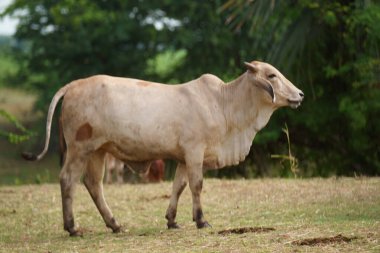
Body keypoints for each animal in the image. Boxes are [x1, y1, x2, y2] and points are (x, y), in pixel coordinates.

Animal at [23, 60, 302, 235]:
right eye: (272, 75)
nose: (299, 94)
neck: (223, 104)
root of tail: (73, 85)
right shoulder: (194, 152)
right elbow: (196, 185)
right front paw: (201, 220)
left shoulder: (183, 158)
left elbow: (178, 186)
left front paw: (172, 220)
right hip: (80, 149)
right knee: (68, 180)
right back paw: (72, 227)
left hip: (98, 151)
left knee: (93, 184)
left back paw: (114, 224)